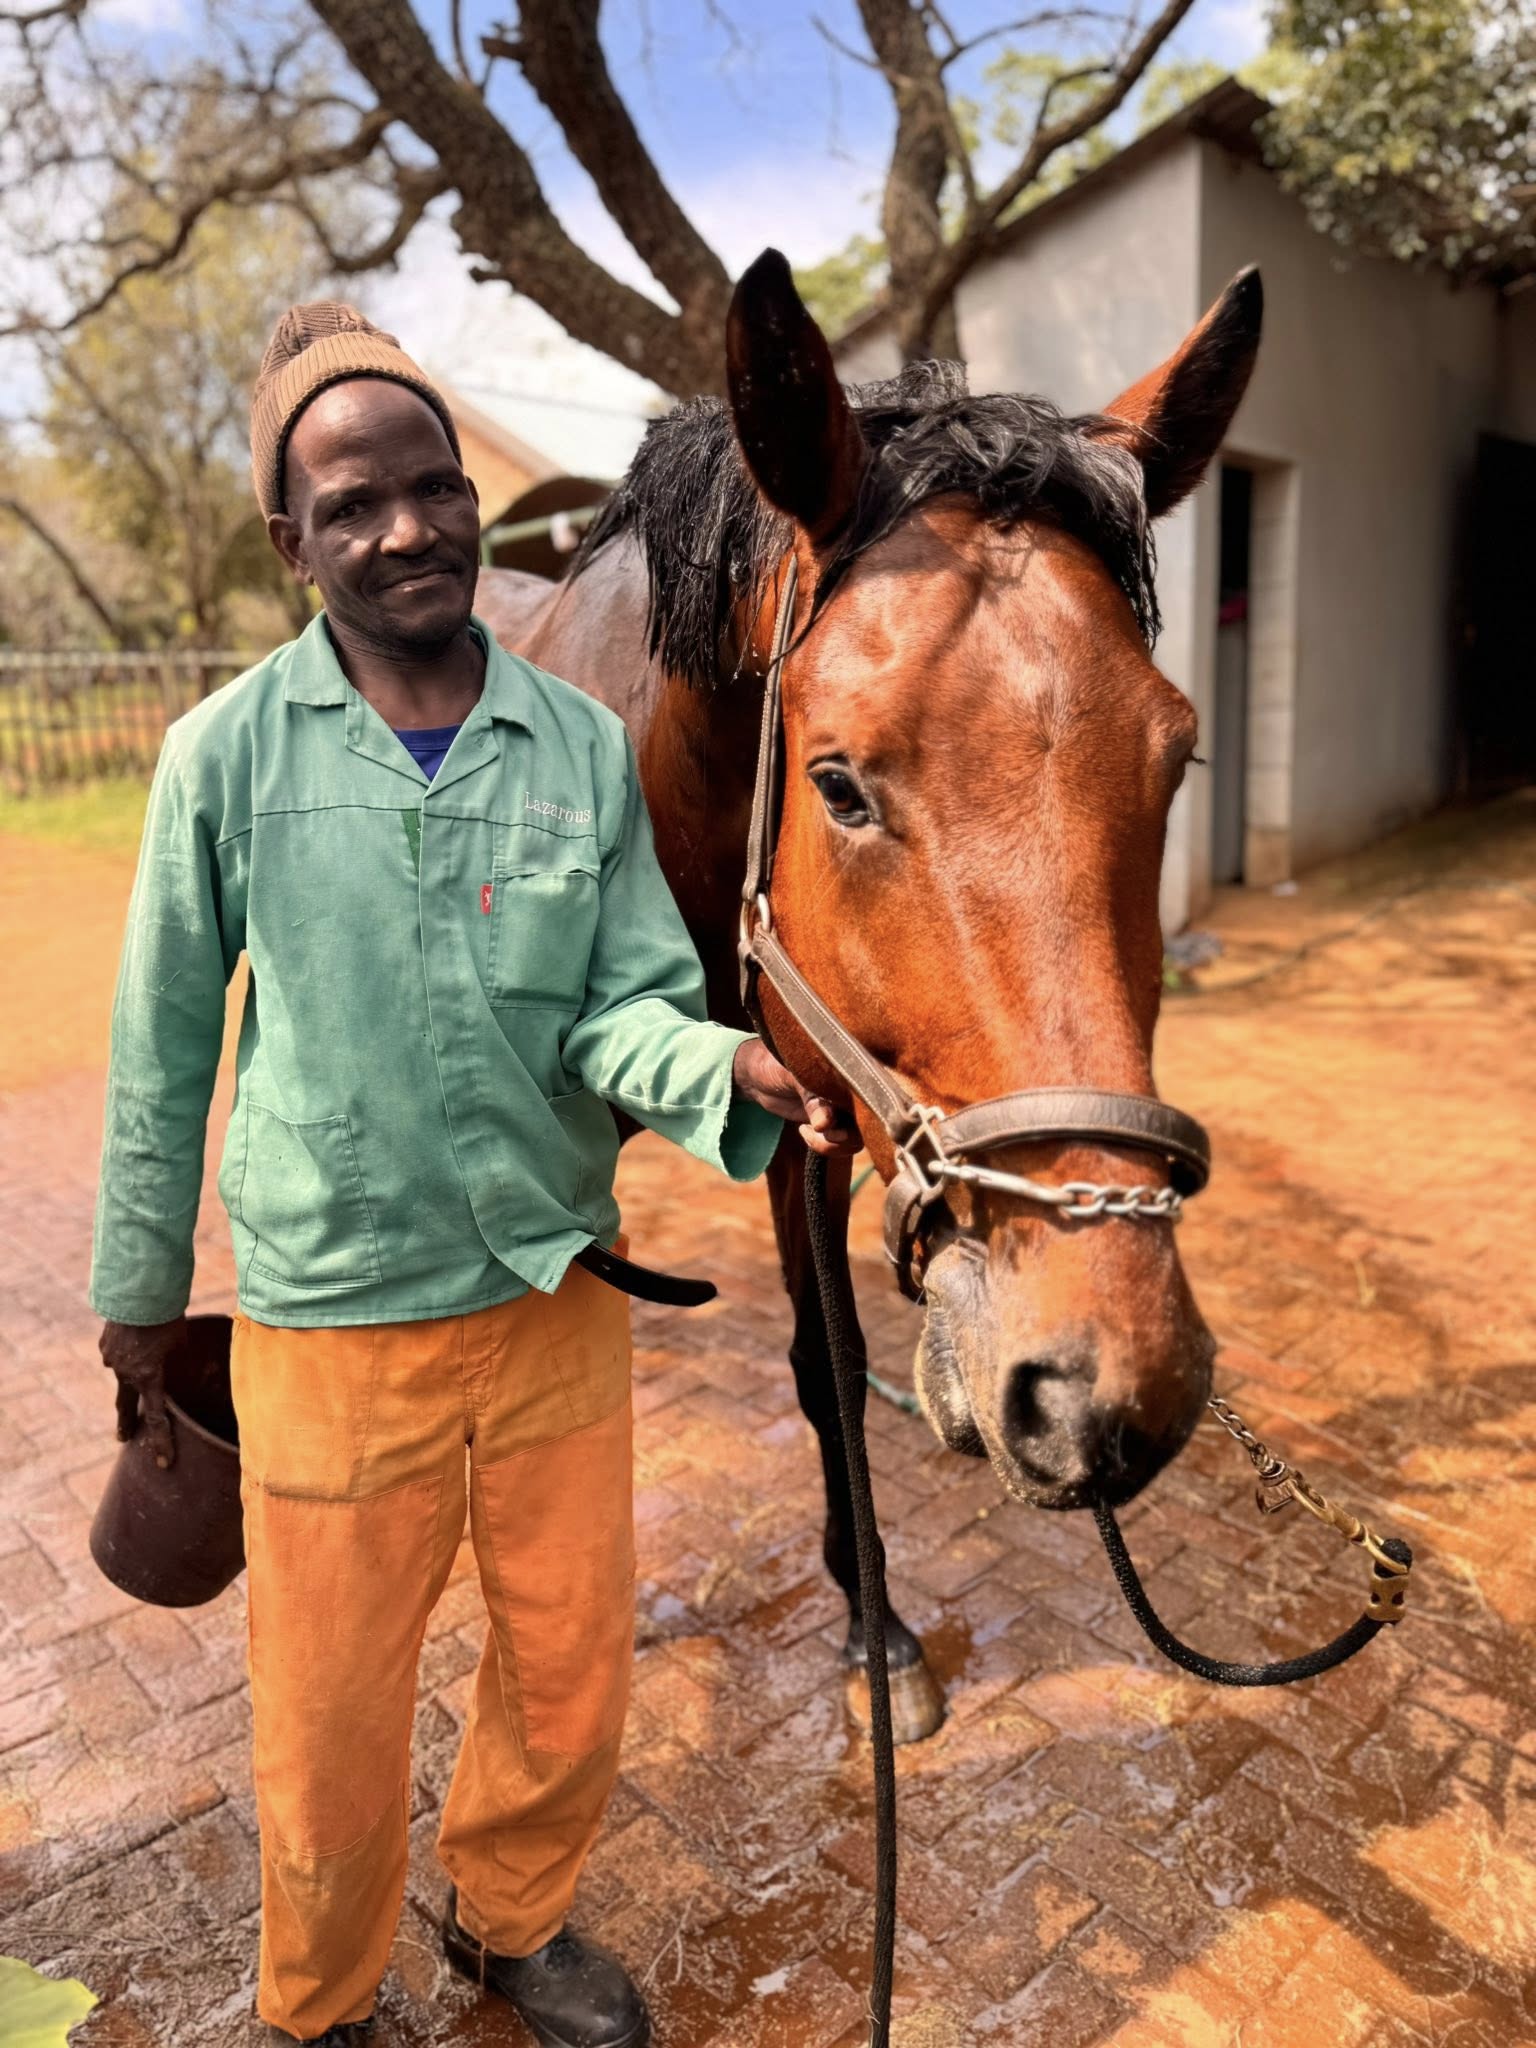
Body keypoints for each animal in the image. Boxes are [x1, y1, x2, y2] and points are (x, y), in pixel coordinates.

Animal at [475, 249, 1263, 1744]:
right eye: (836, 783)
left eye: (1180, 759)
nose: (1106, 1378)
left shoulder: (808, 1103)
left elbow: (829, 1361)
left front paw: (874, 1627)